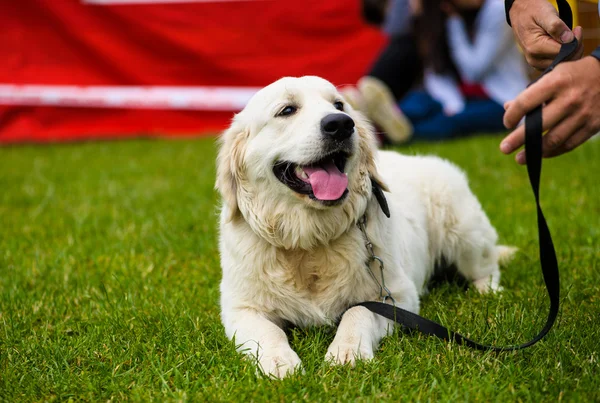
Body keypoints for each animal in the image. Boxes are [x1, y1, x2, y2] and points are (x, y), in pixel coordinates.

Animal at [213, 76, 512, 378]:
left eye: (339, 105)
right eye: (287, 110)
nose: (341, 124)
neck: (309, 240)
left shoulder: (395, 295)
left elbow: (357, 313)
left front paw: (346, 352)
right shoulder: (240, 308)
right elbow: (268, 331)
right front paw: (279, 362)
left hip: (465, 234)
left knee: (486, 270)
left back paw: (490, 294)